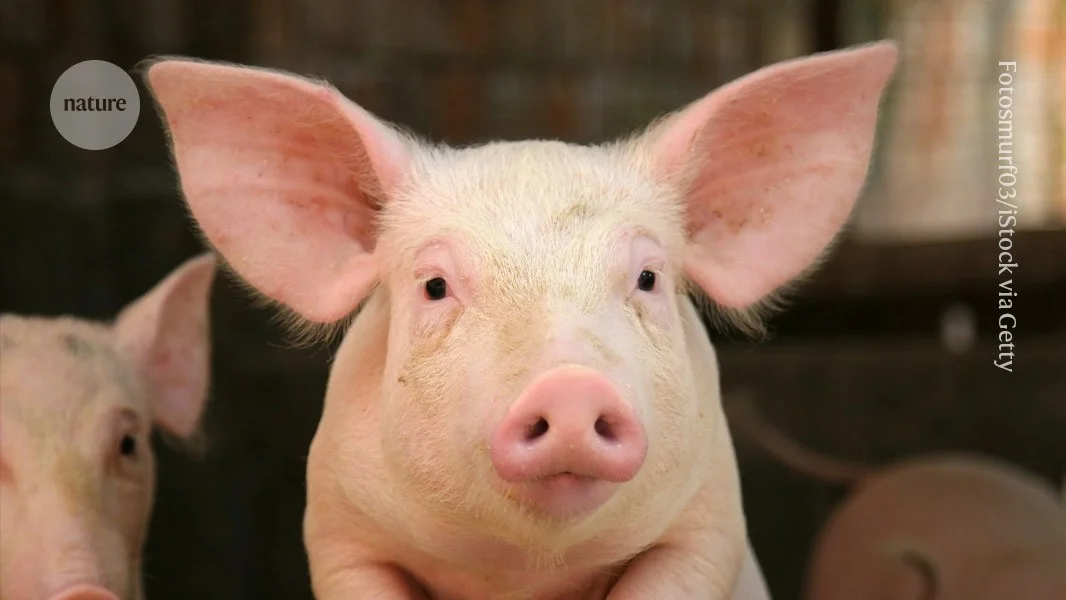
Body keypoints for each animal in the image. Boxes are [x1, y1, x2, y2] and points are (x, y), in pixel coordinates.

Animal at [140, 40, 898, 599]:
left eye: (648, 278)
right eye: (435, 286)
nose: (569, 387)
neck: (525, 573)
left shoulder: (707, 523)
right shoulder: (339, 531)